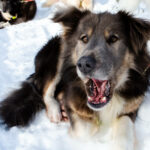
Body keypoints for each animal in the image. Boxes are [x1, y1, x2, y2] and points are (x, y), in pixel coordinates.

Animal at [0, 7, 150, 150]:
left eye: (113, 38)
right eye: (84, 38)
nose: (83, 64)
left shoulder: (131, 106)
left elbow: (124, 128)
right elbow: (84, 132)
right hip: (57, 51)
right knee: (45, 90)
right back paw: (55, 110)